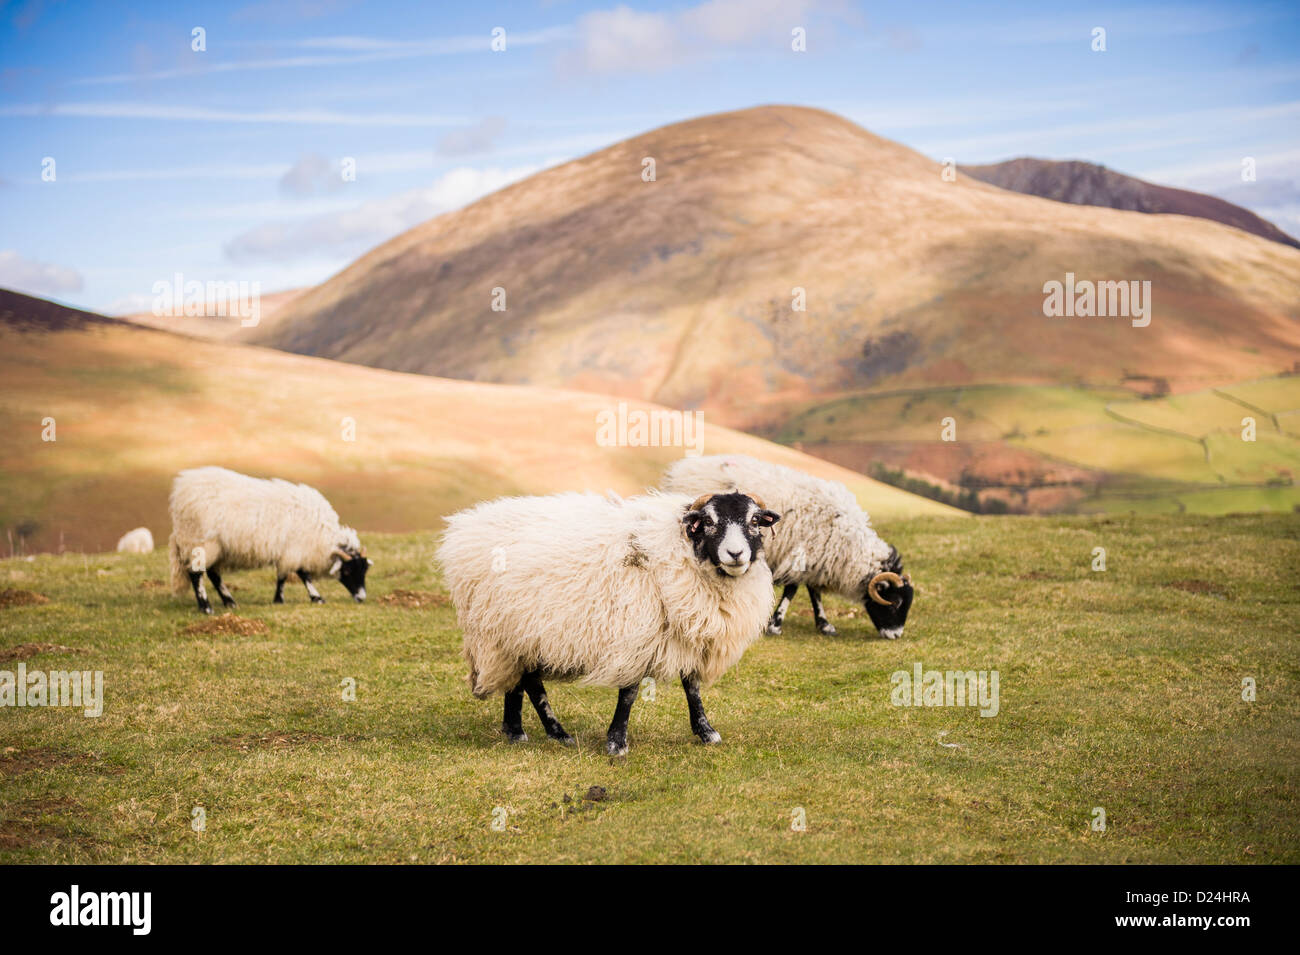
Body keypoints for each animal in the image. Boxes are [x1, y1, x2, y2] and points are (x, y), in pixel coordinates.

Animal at [167, 467, 371, 615]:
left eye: (364, 571)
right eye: (347, 571)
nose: (362, 598)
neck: (322, 536)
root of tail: (180, 491)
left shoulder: (287, 551)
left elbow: (282, 576)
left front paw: (279, 599)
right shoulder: (295, 549)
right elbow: (302, 574)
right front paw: (315, 598)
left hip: (217, 547)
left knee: (213, 574)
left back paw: (229, 602)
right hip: (199, 542)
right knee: (196, 574)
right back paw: (206, 607)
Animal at [436, 493, 780, 753]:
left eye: (754, 521)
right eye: (708, 521)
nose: (735, 553)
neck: (682, 551)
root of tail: (466, 530)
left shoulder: (684, 633)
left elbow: (691, 687)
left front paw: (707, 732)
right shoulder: (637, 632)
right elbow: (629, 692)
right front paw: (616, 743)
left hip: (518, 629)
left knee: (521, 680)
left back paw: (518, 730)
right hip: (503, 627)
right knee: (531, 683)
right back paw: (553, 732)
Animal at [665, 457, 920, 641]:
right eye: (896, 602)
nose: (895, 635)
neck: (848, 543)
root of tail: (682, 467)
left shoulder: (816, 558)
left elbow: (814, 592)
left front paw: (824, 624)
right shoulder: (801, 553)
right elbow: (793, 589)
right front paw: (775, 624)